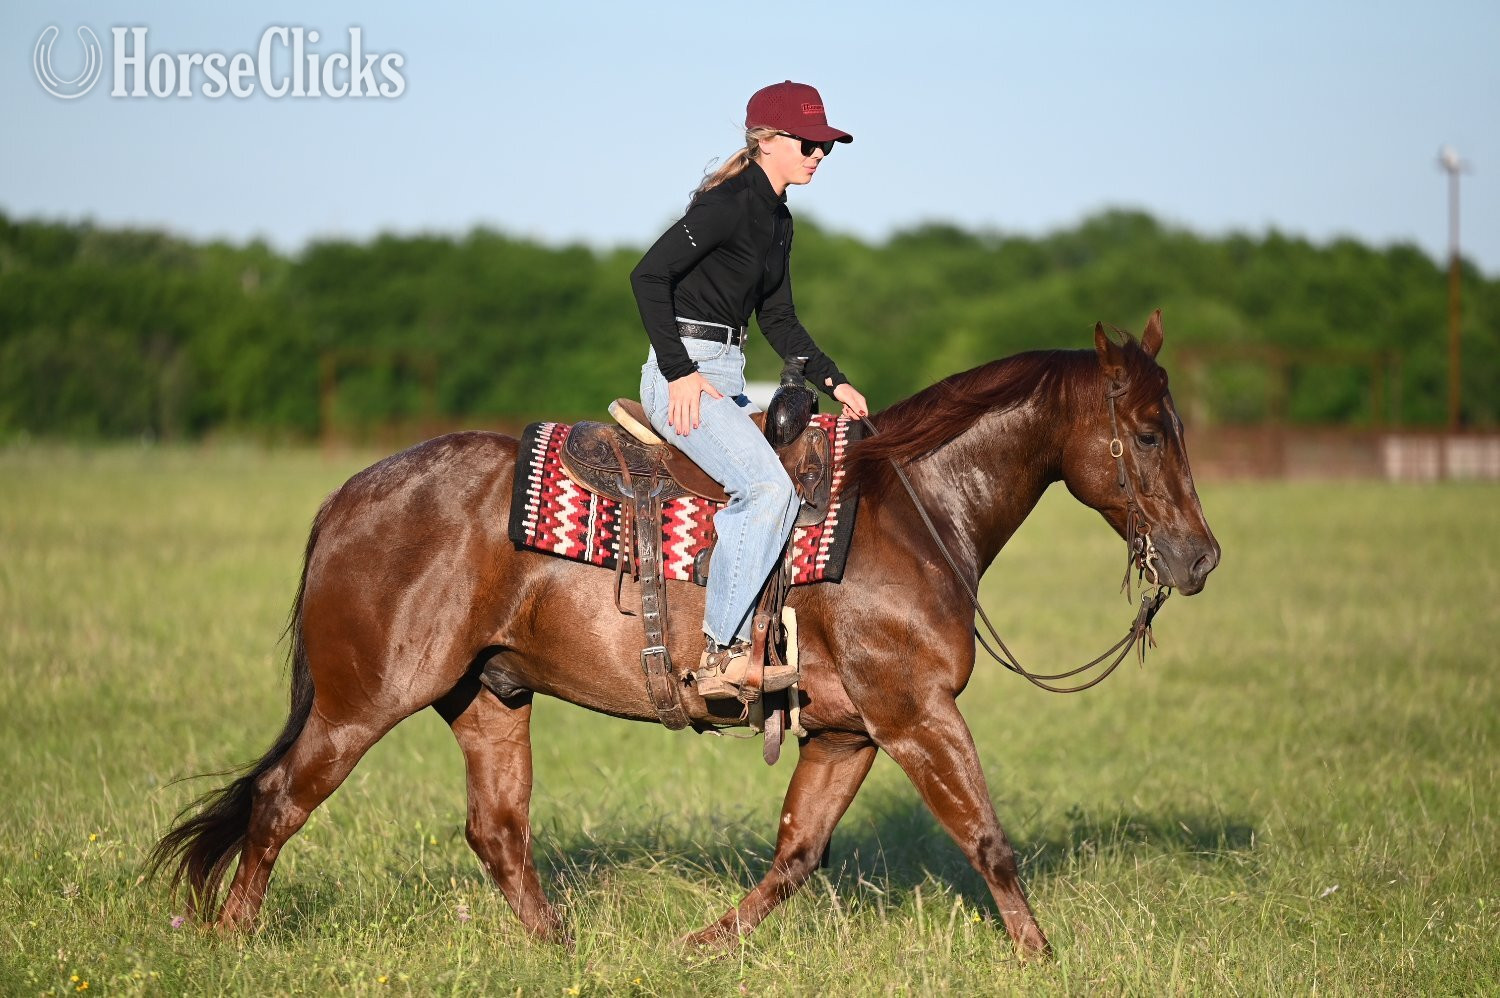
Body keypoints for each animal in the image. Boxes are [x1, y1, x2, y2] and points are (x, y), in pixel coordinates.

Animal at [150, 311, 1219, 957]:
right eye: (1149, 431)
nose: (1199, 557)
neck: (911, 511)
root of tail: (347, 496)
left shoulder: (848, 731)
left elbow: (796, 854)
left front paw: (700, 948)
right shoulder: (917, 714)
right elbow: (989, 840)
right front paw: (1042, 958)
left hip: (488, 697)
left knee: (498, 834)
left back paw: (561, 952)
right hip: (362, 700)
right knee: (280, 803)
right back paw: (236, 938)